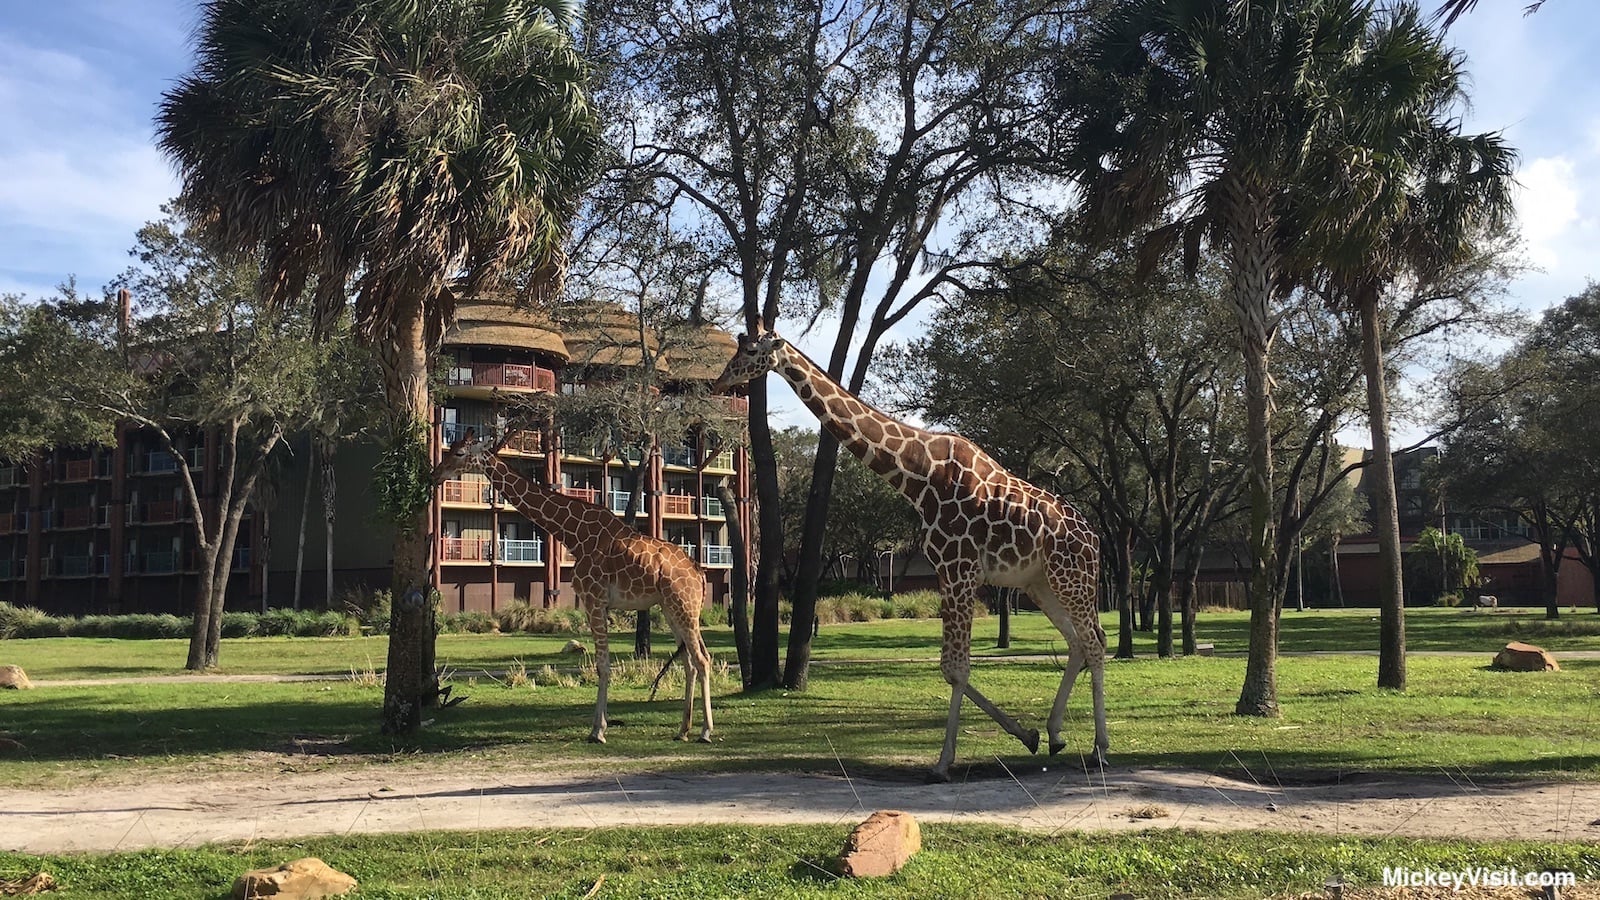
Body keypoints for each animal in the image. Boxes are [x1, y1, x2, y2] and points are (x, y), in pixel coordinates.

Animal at [441, 434, 715, 744]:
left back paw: (705, 731)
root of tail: (699, 574)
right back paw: (683, 730)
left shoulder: (594, 600)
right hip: (671, 608)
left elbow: (603, 665)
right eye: (451, 449)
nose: (438, 472)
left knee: (702, 659)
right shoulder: (597, 603)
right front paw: (599, 727)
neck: (573, 534)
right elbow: (603, 664)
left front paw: (598, 730)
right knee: (691, 660)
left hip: (684, 607)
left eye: (460, 453)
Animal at [714, 330, 1107, 782]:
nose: (721, 380)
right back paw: (1056, 734)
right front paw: (1027, 735)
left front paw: (942, 763)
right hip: (1041, 585)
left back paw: (1100, 748)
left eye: (750, 351)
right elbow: (950, 666)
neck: (919, 475)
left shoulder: (959, 569)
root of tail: (1095, 540)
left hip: (1072, 578)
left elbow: (956, 667)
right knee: (1078, 642)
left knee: (1095, 642)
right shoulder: (950, 572)